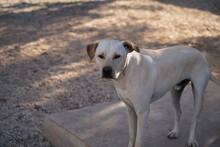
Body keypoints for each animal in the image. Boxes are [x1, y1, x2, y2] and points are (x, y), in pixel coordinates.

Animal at [87, 39, 219, 147]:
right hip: (175, 92)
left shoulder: (143, 112)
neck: (126, 72)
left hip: (199, 95)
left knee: (194, 119)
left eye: (117, 56)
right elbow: (132, 135)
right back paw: (175, 132)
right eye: (100, 56)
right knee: (178, 112)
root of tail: (200, 53)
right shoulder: (130, 110)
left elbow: (139, 140)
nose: (107, 70)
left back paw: (191, 140)